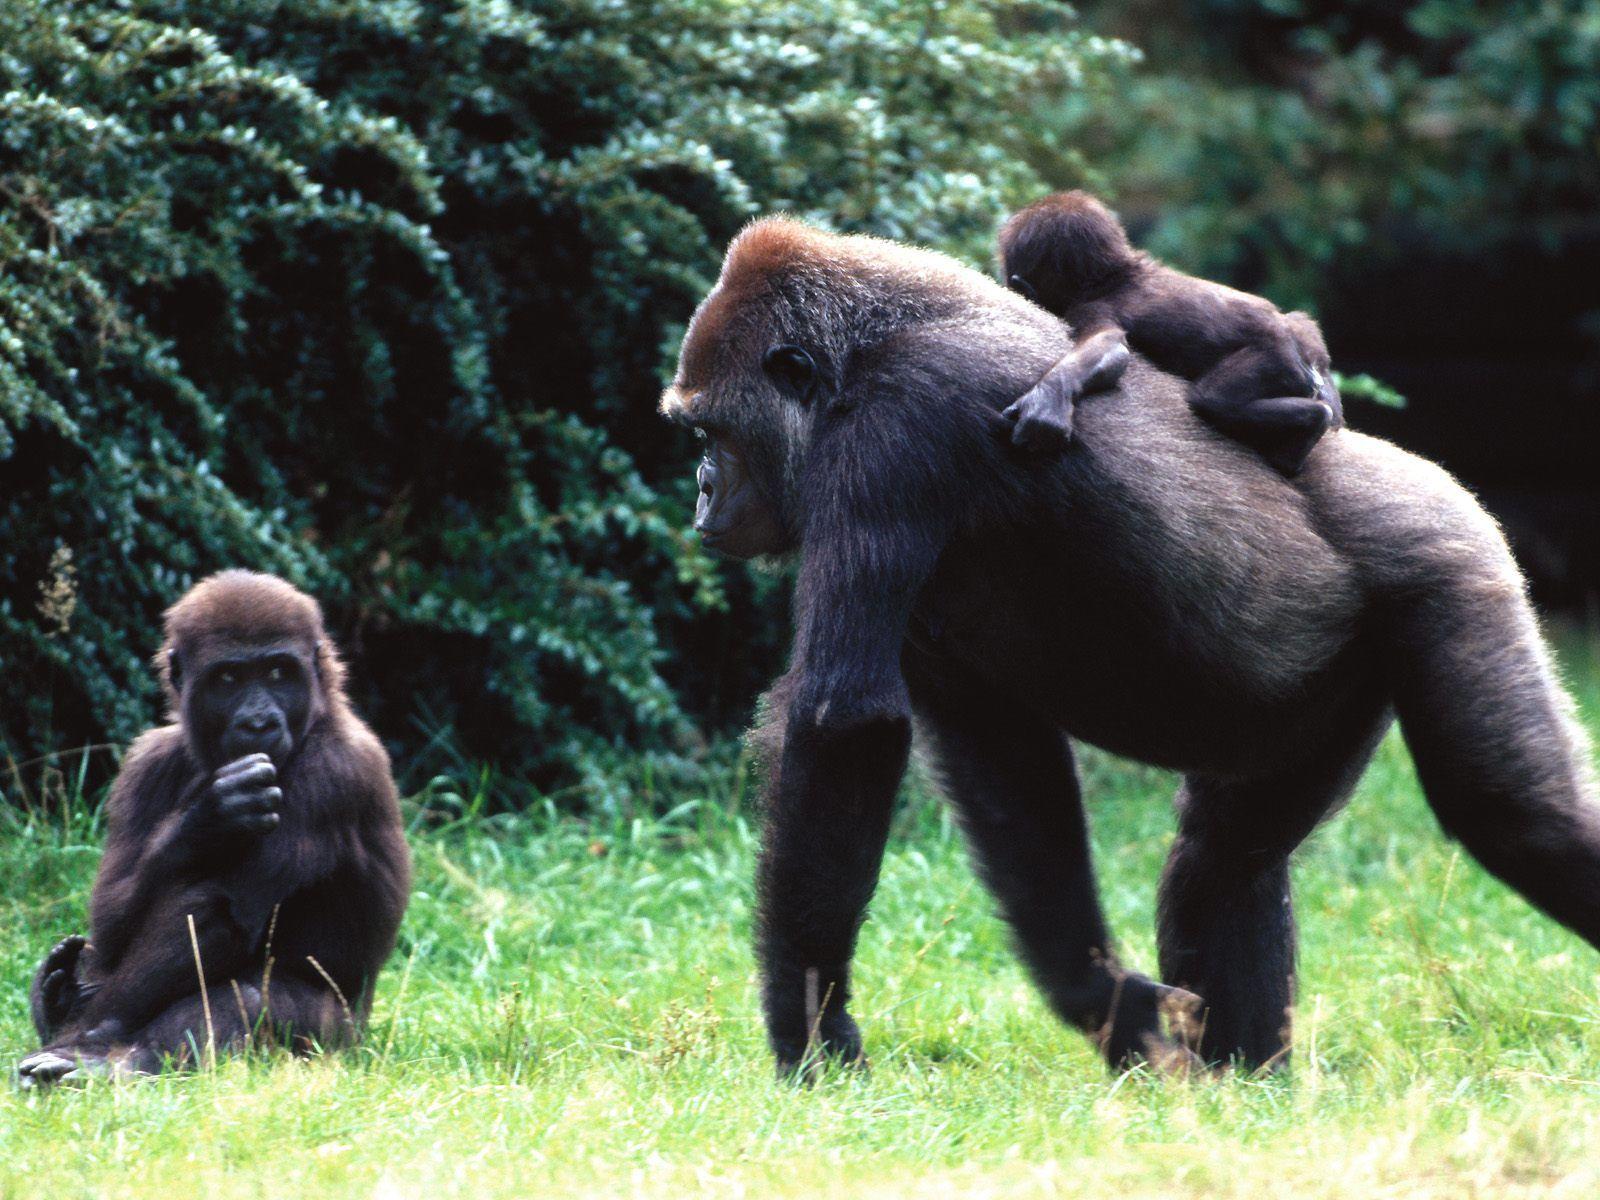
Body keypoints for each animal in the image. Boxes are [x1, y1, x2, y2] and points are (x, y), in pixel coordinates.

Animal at [17, 571, 411, 1086]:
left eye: (278, 673)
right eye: (228, 678)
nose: (260, 722)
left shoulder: (334, 770)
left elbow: (222, 912)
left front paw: (87, 1037)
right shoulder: (146, 760)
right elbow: (114, 917)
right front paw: (205, 819)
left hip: (339, 1044)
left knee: (247, 996)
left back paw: (120, 1059)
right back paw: (57, 998)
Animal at [997, 190, 1343, 474]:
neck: (1115, 276)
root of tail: (1306, 354)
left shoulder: (1089, 308)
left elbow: (1107, 347)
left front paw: (1047, 399)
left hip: (1276, 358)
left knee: (1212, 399)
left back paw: (1311, 425)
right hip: (1302, 340)